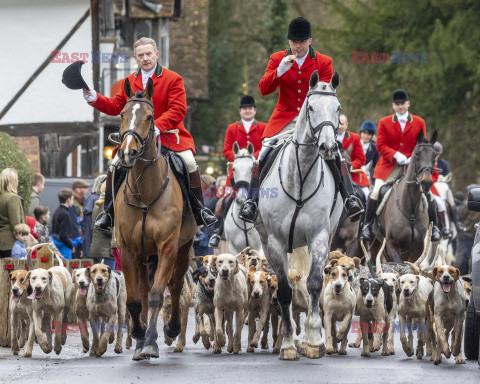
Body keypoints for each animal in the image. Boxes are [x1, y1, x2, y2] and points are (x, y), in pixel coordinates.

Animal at [114, 78, 197, 360]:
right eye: (122, 114)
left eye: (150, 117)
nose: (128, 153)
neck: (145, 193)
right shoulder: (128, 250)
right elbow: (134, 300)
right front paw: (139, 336)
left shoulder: (168, 247)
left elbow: (157, 295)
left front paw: (151, 342)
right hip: (144, 256)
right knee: (141, 291)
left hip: (182, 250)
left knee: (176, 284)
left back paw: (172, 328)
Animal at [255, 71, 342, 360]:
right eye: (311, 107)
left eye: (338, 108)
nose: (328, 146)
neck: (301, 175)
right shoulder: (276, 242)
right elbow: (284, 291)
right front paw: (288, 344)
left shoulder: (319, 237)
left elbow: (314, 284)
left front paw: (313, 340)